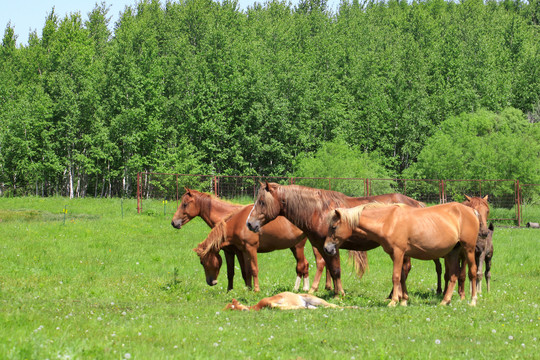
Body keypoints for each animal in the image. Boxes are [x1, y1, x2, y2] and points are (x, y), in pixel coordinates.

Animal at [172, 188, 316, 292]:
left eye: (184, 204)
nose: (173, 222)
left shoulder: (242, 250)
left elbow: (249, 270)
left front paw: (252, 290)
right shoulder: (231, 251)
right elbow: (235, 272)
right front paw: (233, 291)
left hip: (298, 246)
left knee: (302, 266)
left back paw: (300, 289)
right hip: (295, 246)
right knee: (307, 264)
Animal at [246, 183, 430, 296]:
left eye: (261, 202)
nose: (249, 223)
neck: (318, 211)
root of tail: (416, 203)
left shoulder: (331, 246)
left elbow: (335, 270)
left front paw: (339, 294)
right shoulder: (322, 247)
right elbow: (330, 269)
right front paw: (334, 291)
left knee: (404, 269)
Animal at [322, 202, 478, 306]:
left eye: (333, 227)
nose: (326, 249)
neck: (388, 221)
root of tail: (472, 211)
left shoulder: (398, 253)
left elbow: (396, 276)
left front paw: (393, 301)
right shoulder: (394, 255)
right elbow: (402, 276)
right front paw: (404, 300)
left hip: (468, 249)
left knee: (472, 273)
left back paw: (473, 301)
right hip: (453, 252)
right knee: (453, 277)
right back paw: (445, 301)